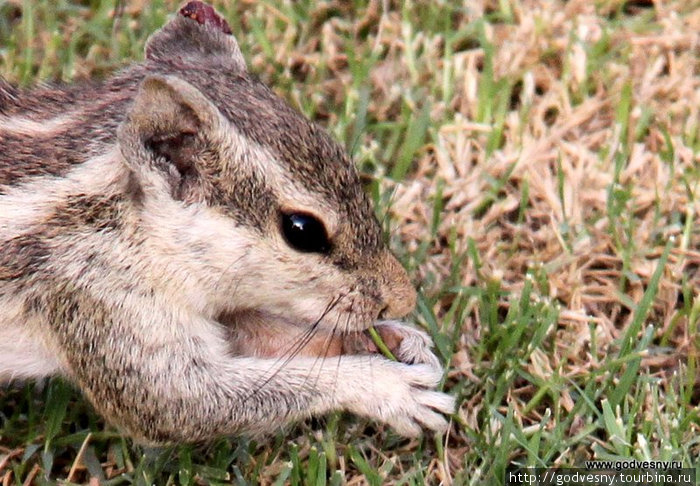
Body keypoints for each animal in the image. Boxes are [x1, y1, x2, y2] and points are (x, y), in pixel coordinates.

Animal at [0, 0, 454, 444]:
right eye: (302, 231)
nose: (402, 299)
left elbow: (272, 335)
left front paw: (396, 339)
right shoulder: (97, 300)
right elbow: (182, 401)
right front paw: (388, 388)